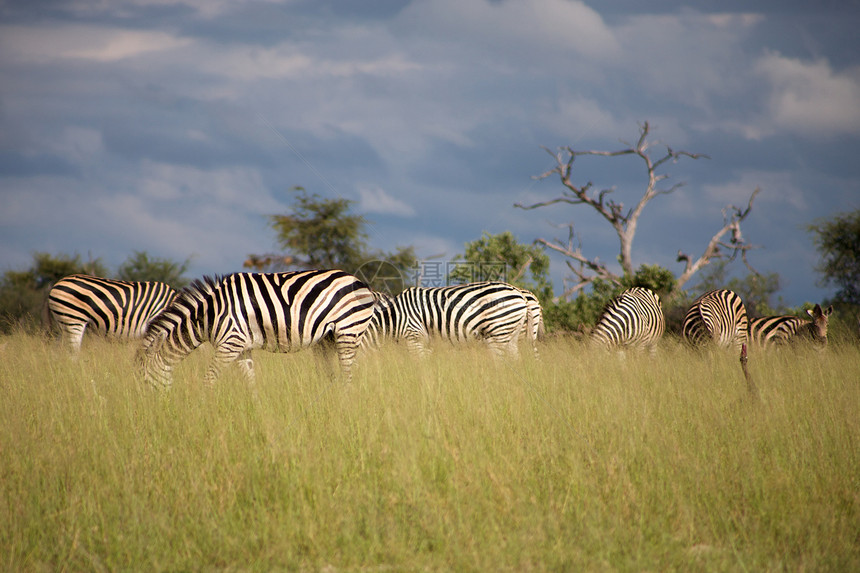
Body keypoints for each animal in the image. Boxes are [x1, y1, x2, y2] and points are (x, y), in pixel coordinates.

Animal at [140, 270, 376, 386]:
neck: (209, 316)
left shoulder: (230, 344)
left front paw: (205, 409)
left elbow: (209, 378)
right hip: (327, 339)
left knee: (348, 373)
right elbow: (250, 380)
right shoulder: (241, 348)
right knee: (331, 374)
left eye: (145, 382)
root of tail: (359, 281)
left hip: (349, 330)